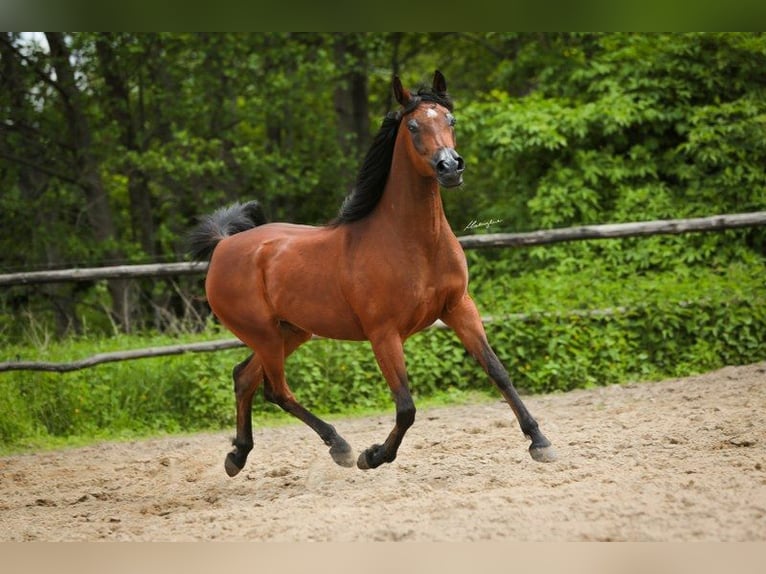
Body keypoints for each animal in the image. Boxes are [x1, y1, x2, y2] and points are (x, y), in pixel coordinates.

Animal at [189, 72, 556, 476]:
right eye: (413, 126)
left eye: (450, 120)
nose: (450, 167)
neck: (414, 243)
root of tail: (224, 246)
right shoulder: (384, 333)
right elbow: (406, 406)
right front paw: (375, 455)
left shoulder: (459, 307)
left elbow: (497, 370)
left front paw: (539, 441)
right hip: (265, 335)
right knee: (276, 390)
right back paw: (341, 446)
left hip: (291, 331)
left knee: (244, 377)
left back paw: (238, 455)